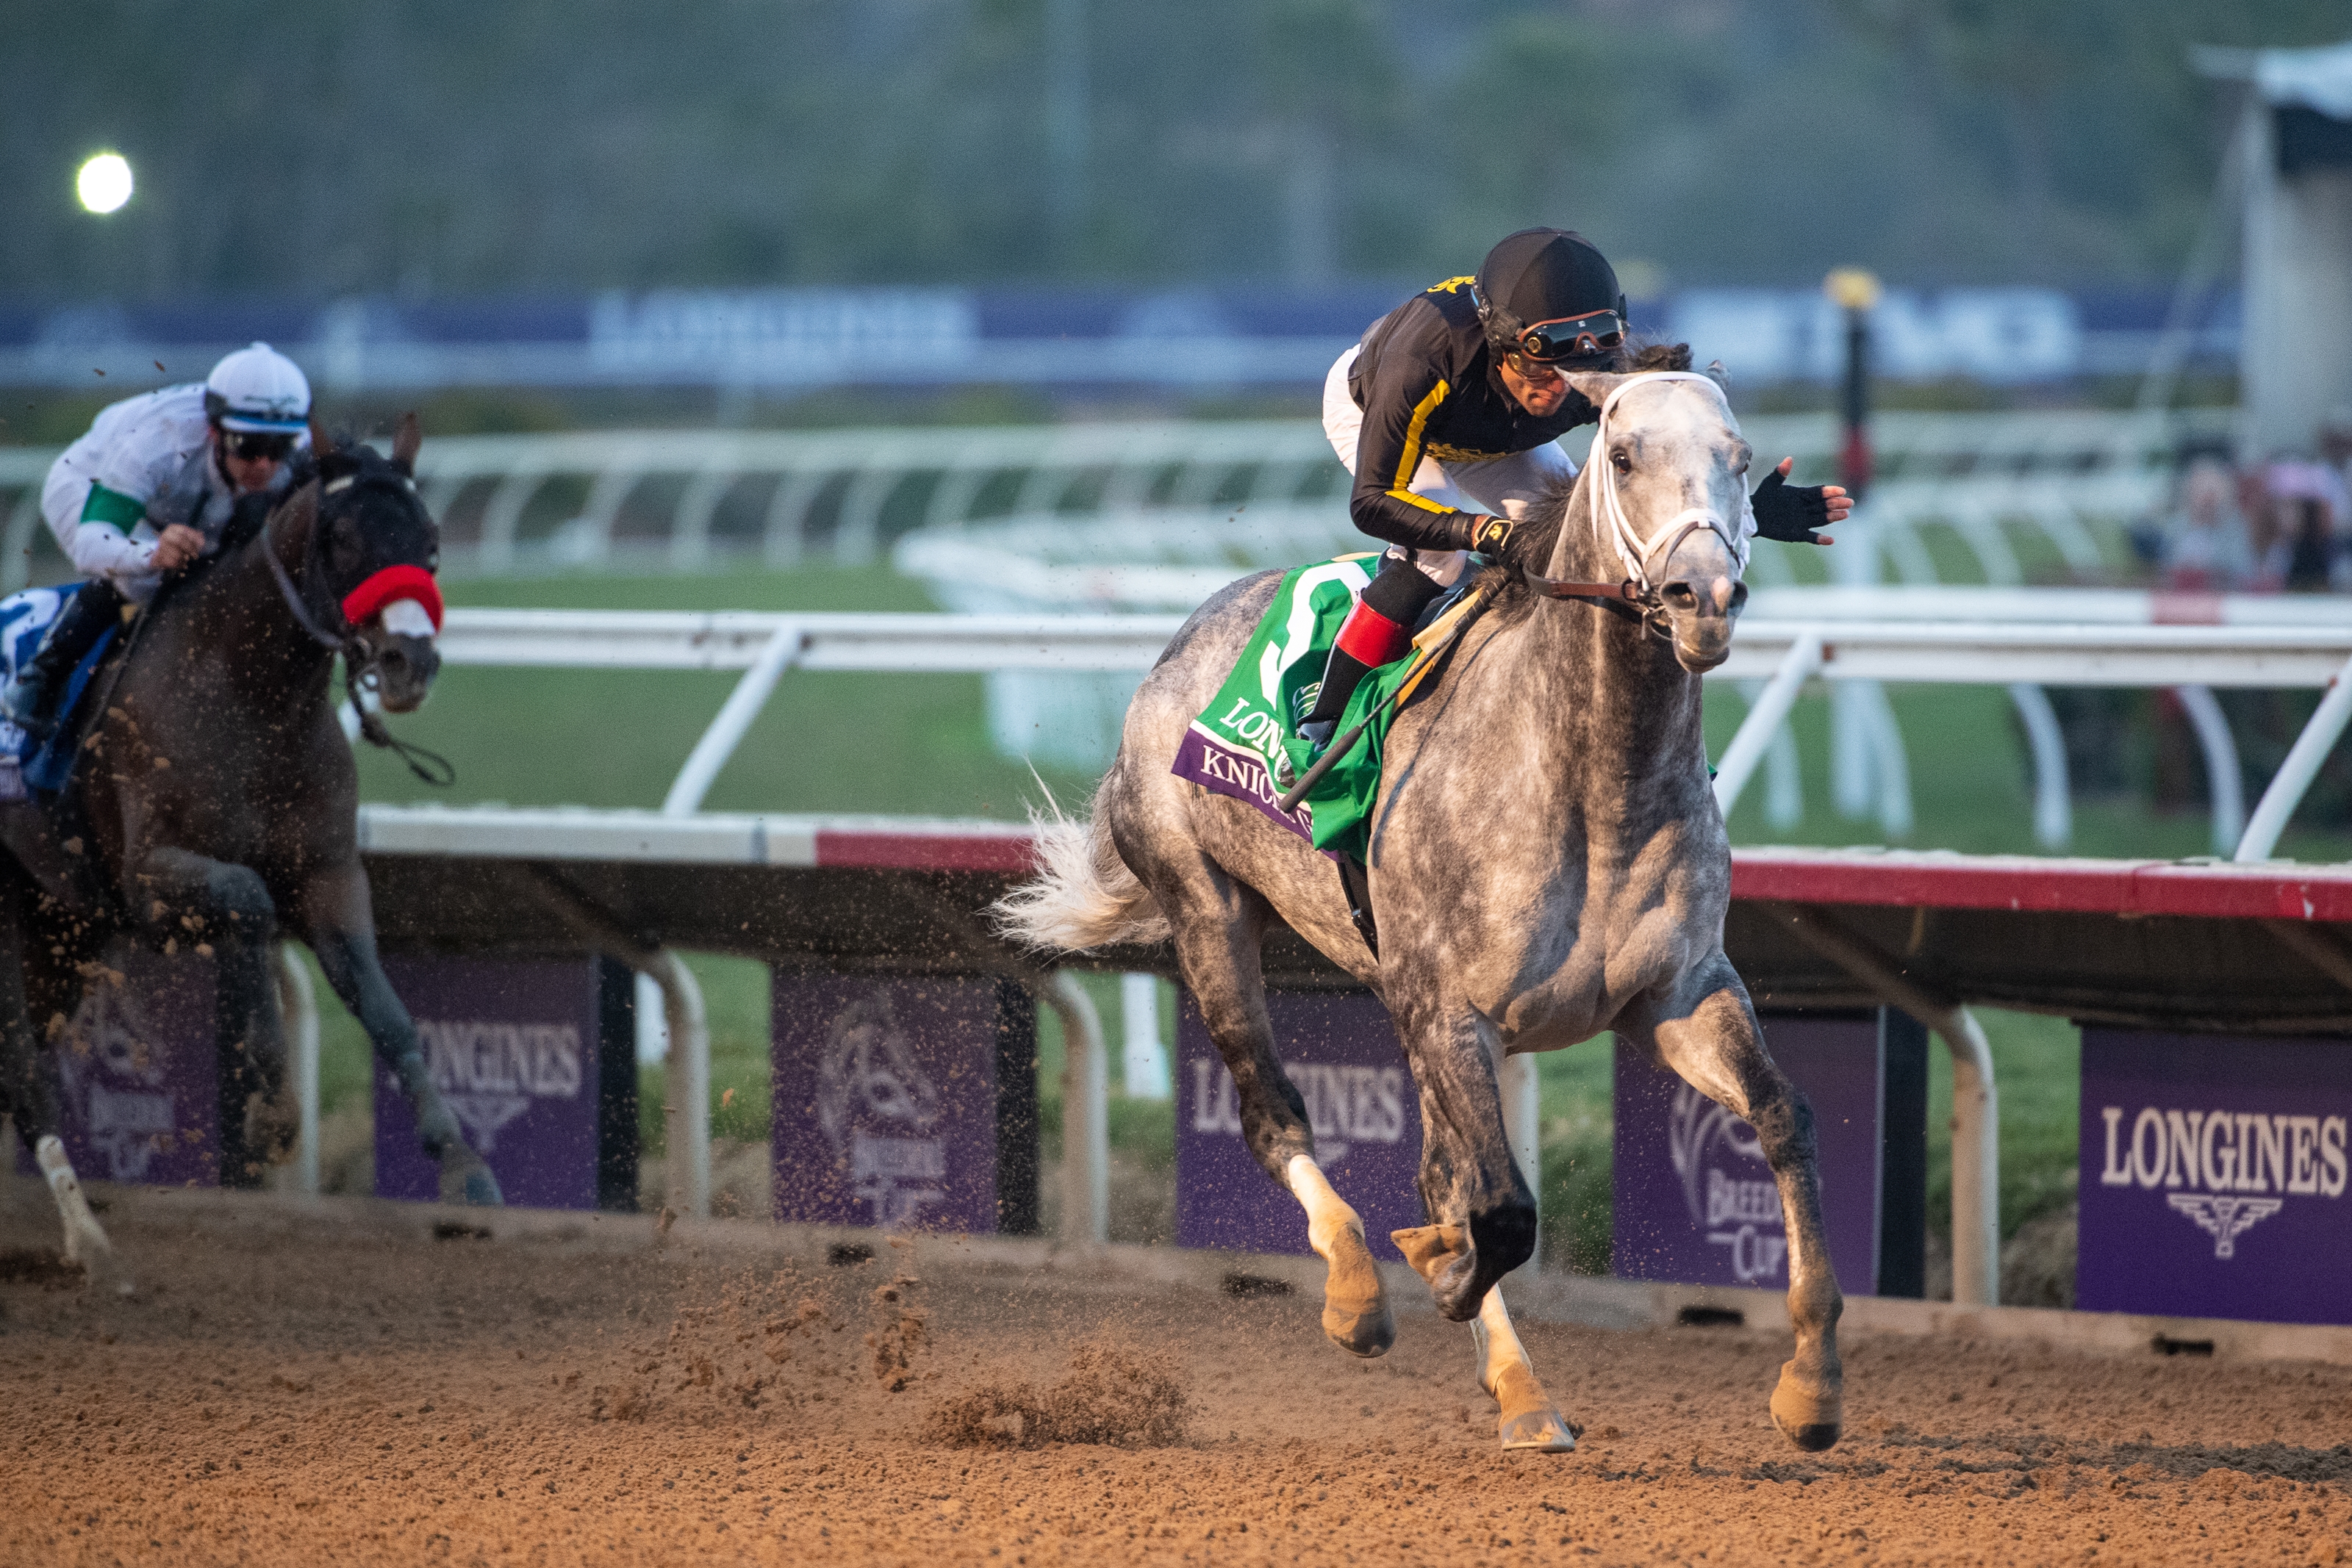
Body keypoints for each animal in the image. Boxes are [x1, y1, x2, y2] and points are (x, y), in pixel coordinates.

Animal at [2, 416, 501, 1288]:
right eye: (342, 537)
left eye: (433, 539)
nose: (408, 663)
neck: (247, 690)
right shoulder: (148, 880)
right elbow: (248, 902)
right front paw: (268, 1106)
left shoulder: (330, 875)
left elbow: (384, 1007)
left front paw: (464, 1167)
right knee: (23, 1072)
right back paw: (89, 1239)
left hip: (58, 926)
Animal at [1002, 371, 1843, 1457]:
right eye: (1622, 458)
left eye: (1739, 458)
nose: (1703, 599)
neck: (1593, 776)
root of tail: (1185, 638)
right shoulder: (1448, 1008)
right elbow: (1502, 1210)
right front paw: (1439, 1272)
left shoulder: (1677, 995)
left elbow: (1784, 1118)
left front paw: (1811, 1384)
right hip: (1208, 912)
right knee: (1277, 1114)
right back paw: (1363, 1294)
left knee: (1441, 1169)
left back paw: (1515, 1381)